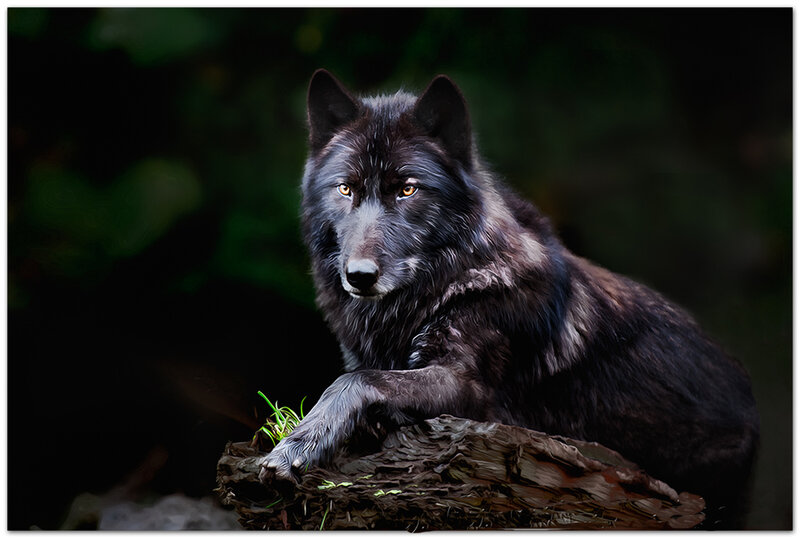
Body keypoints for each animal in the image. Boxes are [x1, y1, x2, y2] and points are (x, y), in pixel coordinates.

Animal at [258, 69, 759, 527]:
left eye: (407, 189)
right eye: (346, 188)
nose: (359, 276)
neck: (425, 297)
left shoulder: (474, 394)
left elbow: (355, 381)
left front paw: (295, 447)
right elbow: (362, 375)